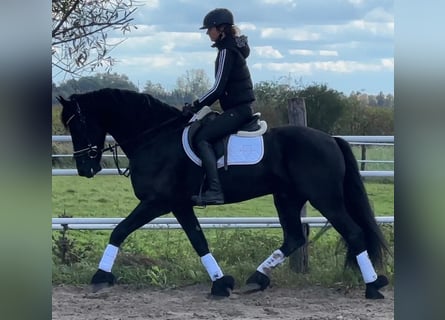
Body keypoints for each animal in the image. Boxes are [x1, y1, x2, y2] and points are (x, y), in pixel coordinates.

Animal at [57, 88, 386, 300]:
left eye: (79, 124)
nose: (85, 168)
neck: (155, 137)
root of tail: (330, 139)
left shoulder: (157, 202)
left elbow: (119, 231)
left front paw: (100, 278)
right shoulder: (179, 205)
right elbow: (198, 241)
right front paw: (221, 284)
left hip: (324, 197)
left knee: (353, 233)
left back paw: (372, 287)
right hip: (287, 198)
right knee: (294, 237)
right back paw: (256, 279)